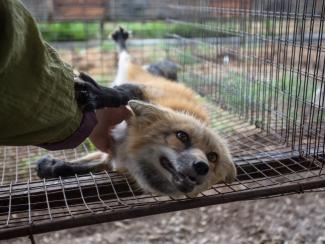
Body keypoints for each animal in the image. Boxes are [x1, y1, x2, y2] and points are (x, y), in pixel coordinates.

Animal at [37, 27, 235, 197]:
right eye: (182, 136)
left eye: (212, 157)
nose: (202, 166)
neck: (129, 150)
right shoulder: (143, 92)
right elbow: (119, 95)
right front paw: (97, 94)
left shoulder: (111, 157)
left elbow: (76, 167)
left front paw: (53, 166)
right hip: (132, 69)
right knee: (125, 55)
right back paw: (120, 41)